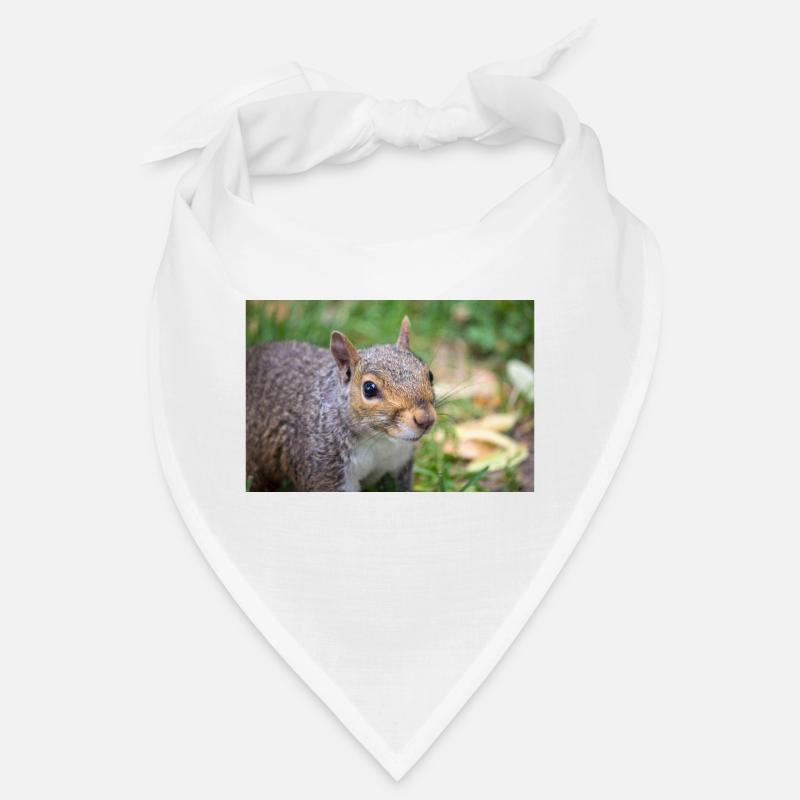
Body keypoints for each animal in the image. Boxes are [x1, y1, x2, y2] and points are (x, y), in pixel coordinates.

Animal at [246, 316, 437, 491]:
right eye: (369, 389)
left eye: (430, 375)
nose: (426, 419)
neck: (380, 440)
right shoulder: (323, 465)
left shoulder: (399, 461)